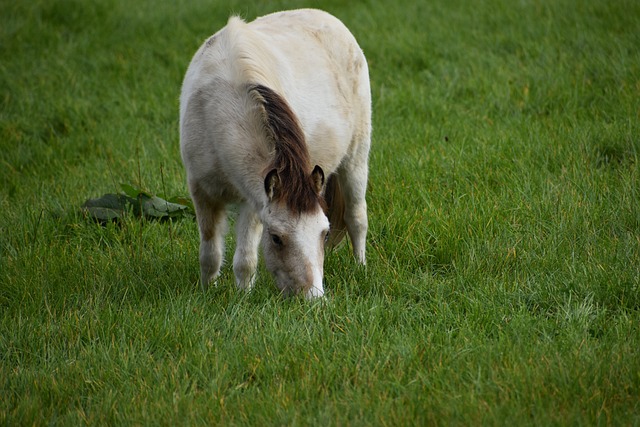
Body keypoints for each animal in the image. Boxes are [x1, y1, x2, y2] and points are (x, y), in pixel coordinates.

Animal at [180, 8, 370, 300]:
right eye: (277, 238)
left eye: (324, 234)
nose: (314, 298)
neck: (215, 111)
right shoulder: (202, 192)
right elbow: (210, 254)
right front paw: (207, 291)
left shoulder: (252, 202)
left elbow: (245, 260)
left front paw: (243, 299)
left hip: (356, 158)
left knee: (357, 217)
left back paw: (361, 267)